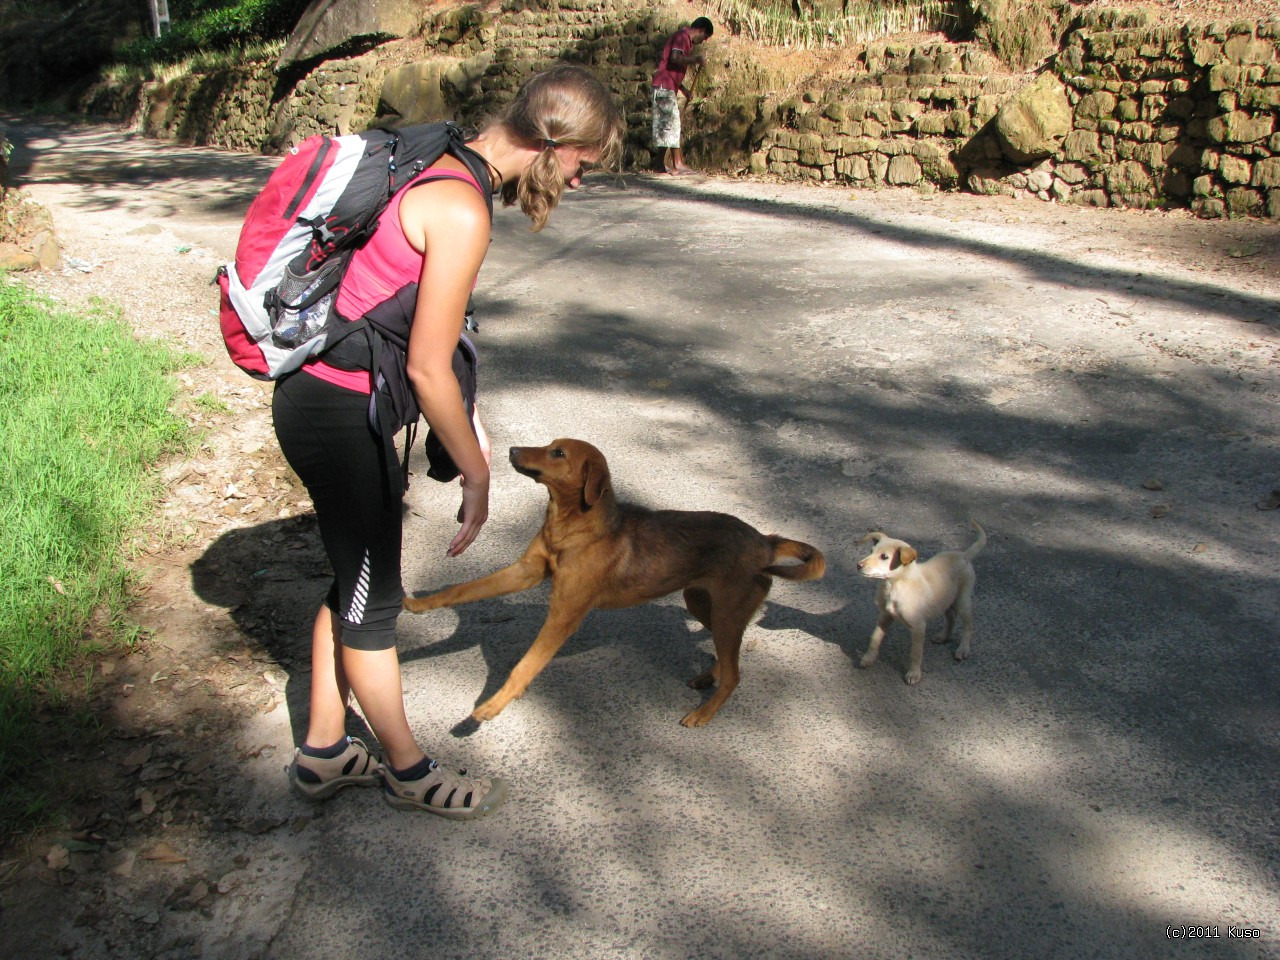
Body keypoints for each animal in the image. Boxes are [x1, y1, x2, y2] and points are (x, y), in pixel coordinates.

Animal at [407, 440, 829, 727]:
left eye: (557, 453)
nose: (510, 449)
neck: (571, 524)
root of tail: (766, 541)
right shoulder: (525, 572)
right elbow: (461, 589)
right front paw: (417, 604)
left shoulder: (563, 615)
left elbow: (523, 667)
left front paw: (490, 707)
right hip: (700, 602)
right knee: (727, 657)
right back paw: (709, 675)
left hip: (726, 613)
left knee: (735, 672)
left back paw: (703, 714)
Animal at [855, 522, 983, 686]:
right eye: (871, 551)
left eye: (884, 556)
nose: (858, 565)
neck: (894, 585)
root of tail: (963, 555)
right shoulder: (884, 617)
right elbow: (875, 638)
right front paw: (868, 658)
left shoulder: (918, 627)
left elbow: (915, 653)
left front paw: (914, 674)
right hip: (945, 601)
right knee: (951, 618)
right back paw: (943, 637)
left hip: (962, 601)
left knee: (968, 625)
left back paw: (963, 649)